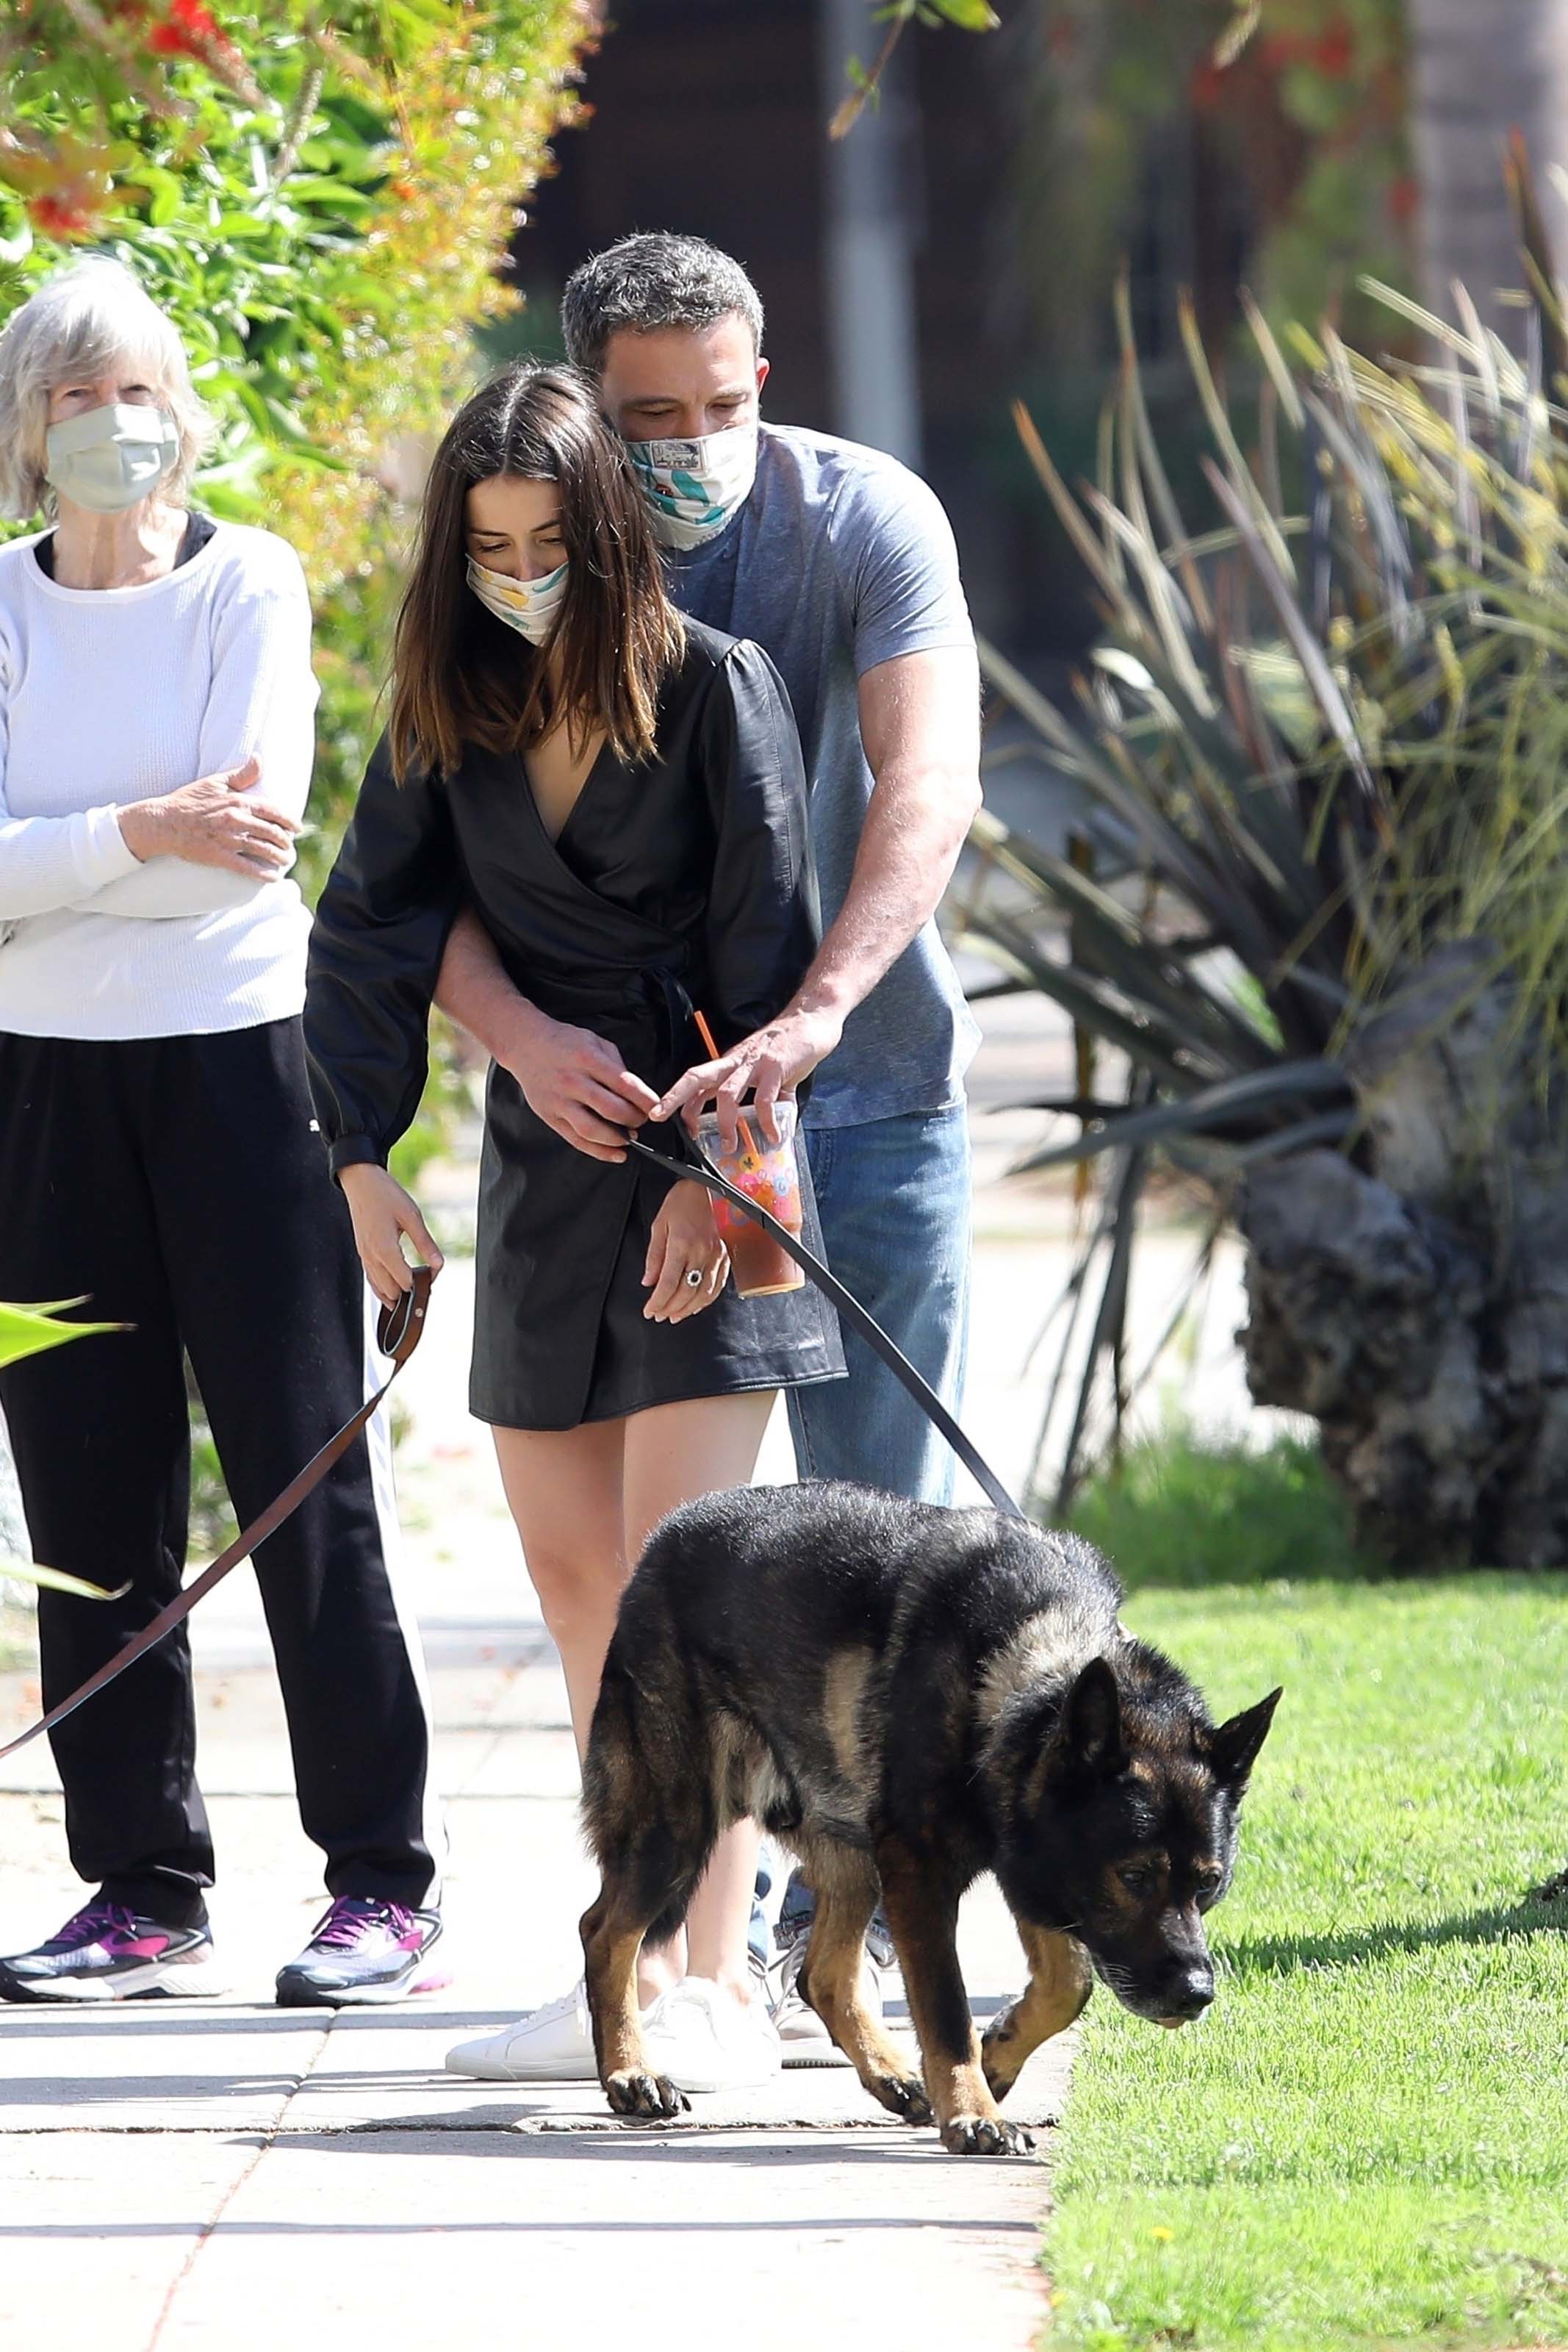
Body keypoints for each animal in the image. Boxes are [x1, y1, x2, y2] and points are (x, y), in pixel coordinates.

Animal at [583, 1477, 1279, 2154]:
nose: (1197, 1994)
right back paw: (631, 2074)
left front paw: (996, 2059)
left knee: (823, 1975)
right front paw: (975, 2115)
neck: (1022, 1669)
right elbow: (947, 2009)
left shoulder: (1030, 1869)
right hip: (676, 1830)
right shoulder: (924, 1874)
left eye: (1210, 1885)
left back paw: (892, 2075)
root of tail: (663, 1541)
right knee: (605, 1931)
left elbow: (1069, 1985)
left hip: (852, 1857)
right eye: (1134, 1877)